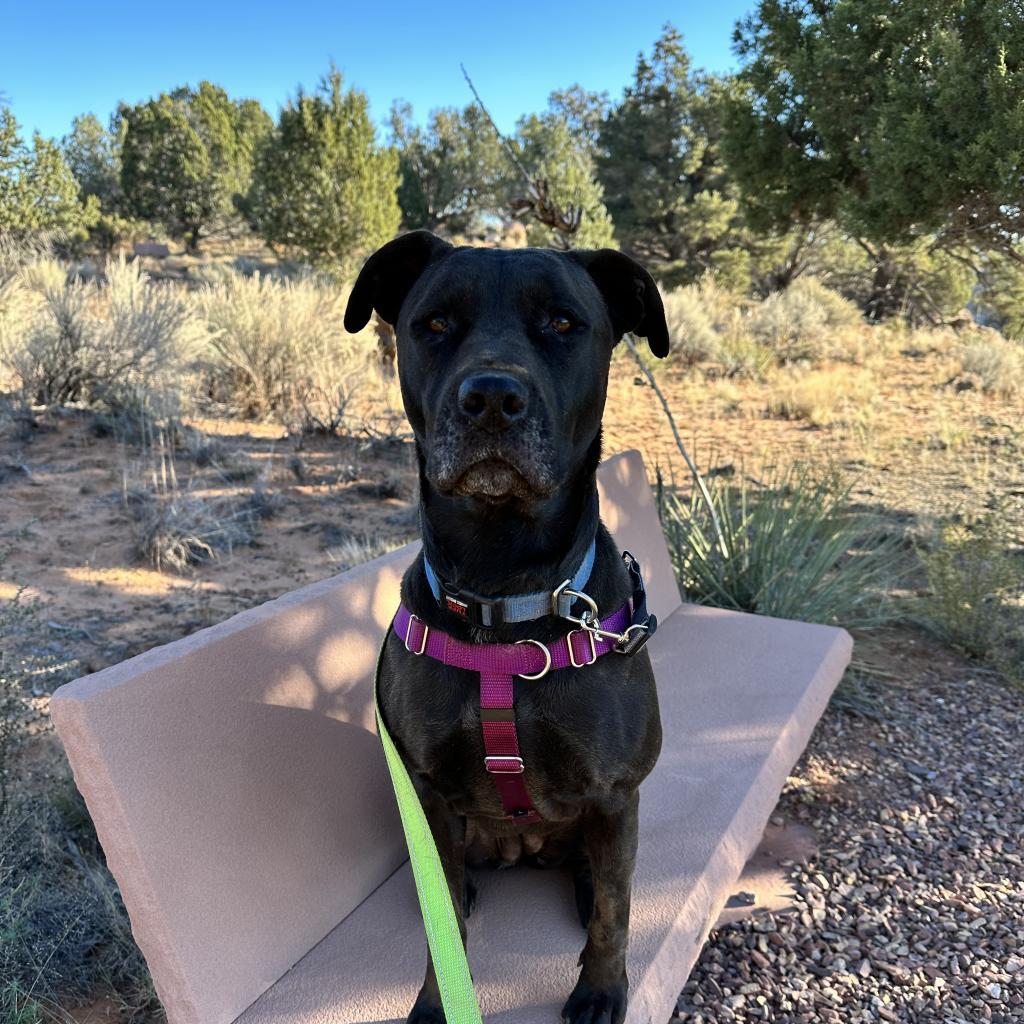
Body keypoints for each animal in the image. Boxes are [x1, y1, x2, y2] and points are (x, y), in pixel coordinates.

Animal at [344, 232, 671, 1024]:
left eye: (562, 322)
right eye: (434, 322)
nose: (492, 398)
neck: (503, 595)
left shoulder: (614, 794)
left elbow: (615, 913)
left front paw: (601, 991)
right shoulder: (430, 797)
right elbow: (447, 935)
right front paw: (438, 1002)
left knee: (601, 880)